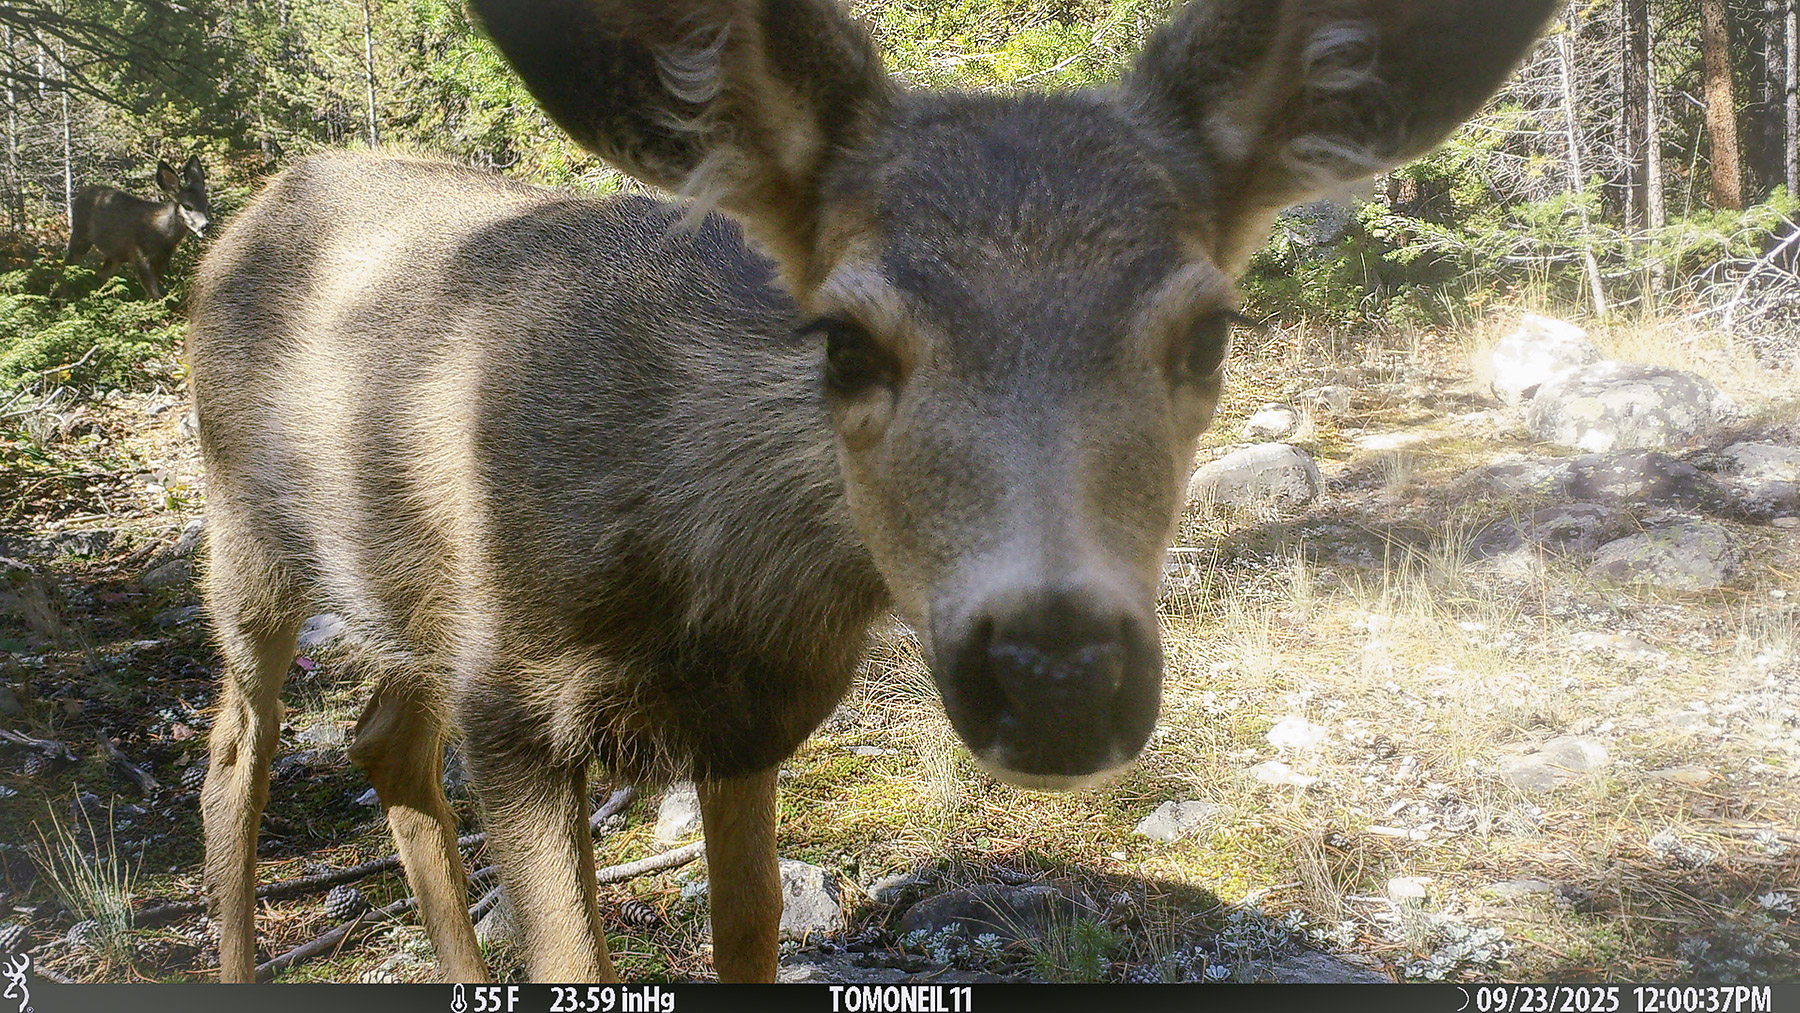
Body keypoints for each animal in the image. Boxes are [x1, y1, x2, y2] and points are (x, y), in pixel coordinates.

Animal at [65, 155, 211, 300]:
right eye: (187, 206)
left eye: (206, 202)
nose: (205, 226)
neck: (162, 234)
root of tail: (81, 194)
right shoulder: (139, 255)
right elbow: (154, 295)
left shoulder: (163, 259)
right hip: (80, 234)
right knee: (67, 267)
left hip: (115, 254)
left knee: (99, 276)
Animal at [190, 0, 1556, 985]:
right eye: (845, 341)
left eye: (1210, 334)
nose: (1058, 675)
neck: (715, 565)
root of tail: (253, 205)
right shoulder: (515, 704)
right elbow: (573, 957)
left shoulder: (746, 719)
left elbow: (749, 937)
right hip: (245, 534)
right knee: (234, 755)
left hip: (398, 583)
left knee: (378, 733)